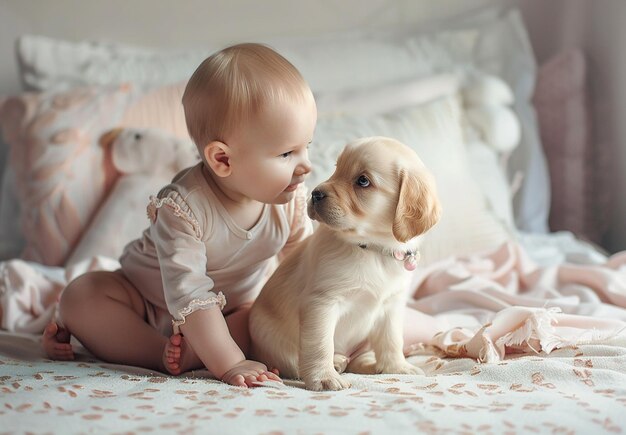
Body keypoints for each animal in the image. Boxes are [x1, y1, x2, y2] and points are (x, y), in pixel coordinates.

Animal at [249, 136, 438, 392]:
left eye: (363, 181)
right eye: (337, 169)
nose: (315, 194)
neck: (374, 250)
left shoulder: (391, 306)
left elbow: (391, 340)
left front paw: (396, 367)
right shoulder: (322, 302)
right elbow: (320, 345)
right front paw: (323, 377)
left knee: (358, 359)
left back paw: (368, 364)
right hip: (271, 338)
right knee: (295, 360)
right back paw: (336, 363)